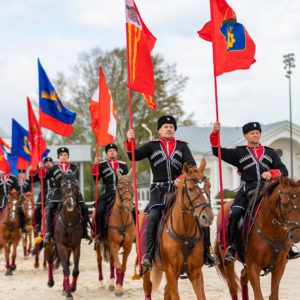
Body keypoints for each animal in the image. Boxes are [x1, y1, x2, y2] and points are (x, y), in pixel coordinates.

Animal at [142, 158, 214, 298]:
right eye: (190, 189)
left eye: (209, 186)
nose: (208, 217)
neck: (185, 233)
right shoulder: (171, 272)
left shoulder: (196, 274)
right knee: (148, 287)